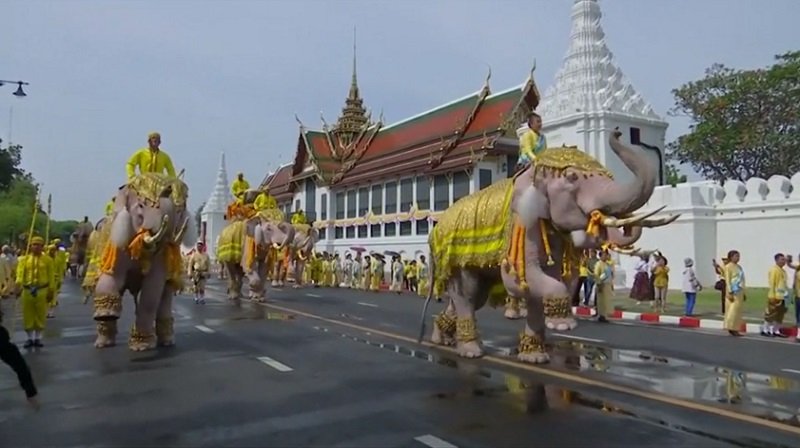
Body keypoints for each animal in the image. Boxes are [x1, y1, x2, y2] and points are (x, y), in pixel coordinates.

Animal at [89, 173, 195, 352]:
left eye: (179, 213)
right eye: (140, 206)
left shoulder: (162, 251)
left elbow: (152, 290)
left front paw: (141, 347)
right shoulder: (120, 239)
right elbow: (111, 277)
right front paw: (106, 315)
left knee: (165, 296)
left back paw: (167, 342)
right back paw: (104, 341)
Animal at [422, 130, 680, 364]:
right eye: (572, 177)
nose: (618, 132)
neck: (533, 174)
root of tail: (436, 229)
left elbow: (551, 282)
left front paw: (535, 357)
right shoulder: (522, 224)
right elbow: (519, 280)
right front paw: (563, 325)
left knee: (472, 298)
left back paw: (441, 338)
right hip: (456, 260)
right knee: (467, 294)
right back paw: (470, 352)